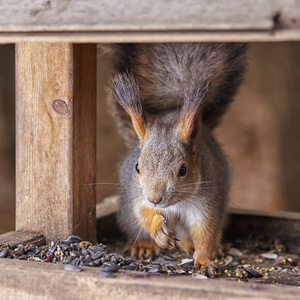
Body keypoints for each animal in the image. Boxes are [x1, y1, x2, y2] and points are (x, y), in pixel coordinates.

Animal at [106, 42, 247, 276]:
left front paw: (203, 260)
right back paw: (144, 245)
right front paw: (157, 229)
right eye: (137, 167)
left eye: (183, 170)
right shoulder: (138, 197)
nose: (155, 199)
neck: (176, 204)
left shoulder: (206, 202)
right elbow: (143, 213)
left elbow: (205, 233)